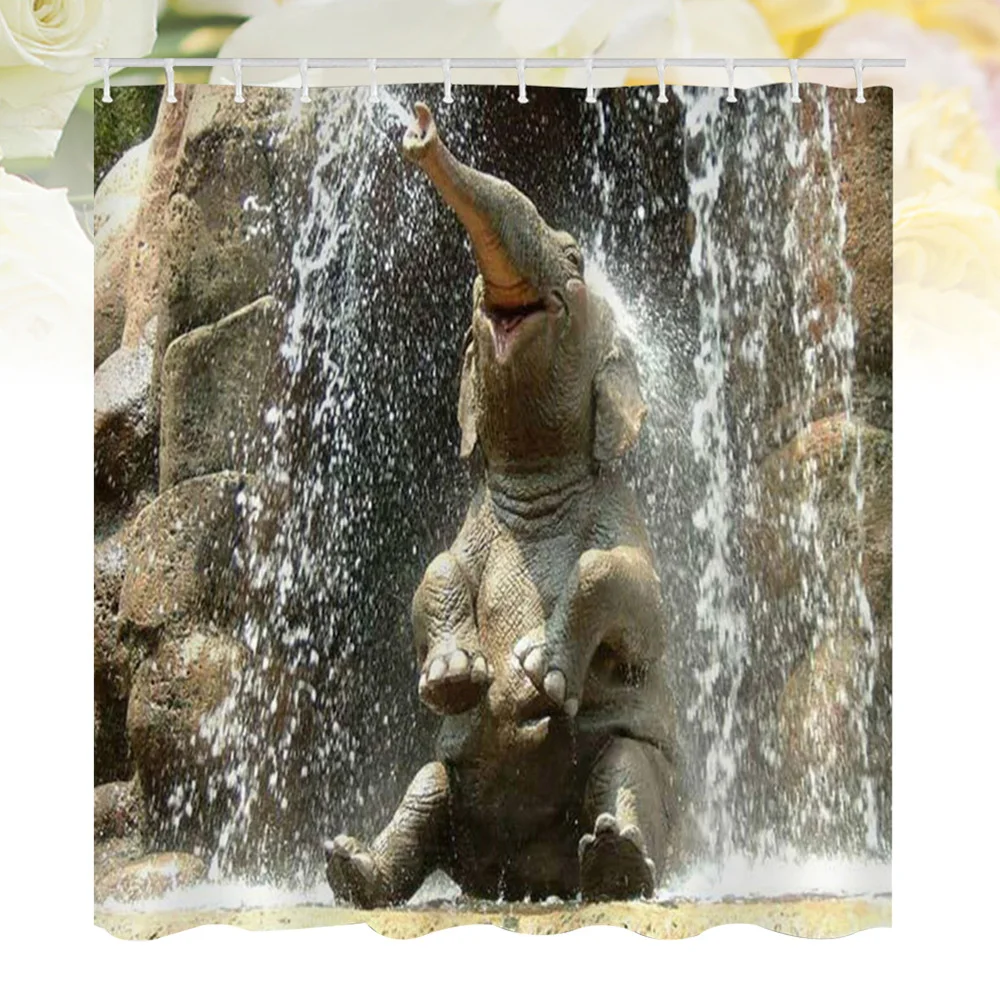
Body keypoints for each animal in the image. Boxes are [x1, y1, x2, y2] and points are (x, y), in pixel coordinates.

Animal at [324, 103, 678, 906]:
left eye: (574, 260)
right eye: (469, 302)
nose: (419, 129)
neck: (538, 481)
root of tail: (525, 874)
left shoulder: (619, 506)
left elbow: (638, 596)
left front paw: (537, 673)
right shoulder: (477, 523)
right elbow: (437, 570)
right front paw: (459, 676)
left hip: (640, 767)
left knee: (627, 768)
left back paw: (614, 863)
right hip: (450, 791)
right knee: (425, 787)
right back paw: (352, 867)